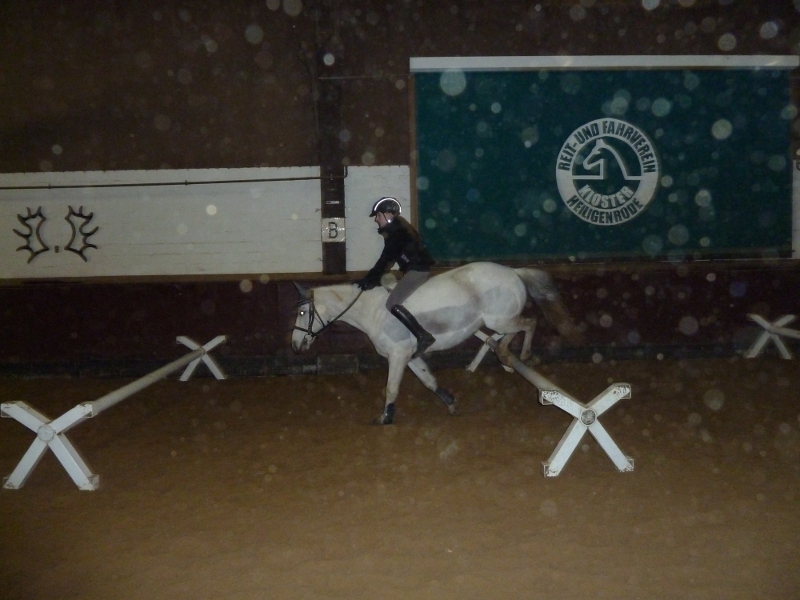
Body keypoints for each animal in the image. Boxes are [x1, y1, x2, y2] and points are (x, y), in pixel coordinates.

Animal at [291, 261, 583, 425]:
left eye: (303, 312)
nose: (295, 346)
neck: (371, 310)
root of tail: (513, 271)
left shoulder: (398, 355)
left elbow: (391, 388)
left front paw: (385, 418)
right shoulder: (409, 356)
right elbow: (428, 381)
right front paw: (451, 403)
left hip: (500, 319)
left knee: (530, 323)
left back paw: (526, 355)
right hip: (498, 321)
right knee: (509, 333)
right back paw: (503, 354)